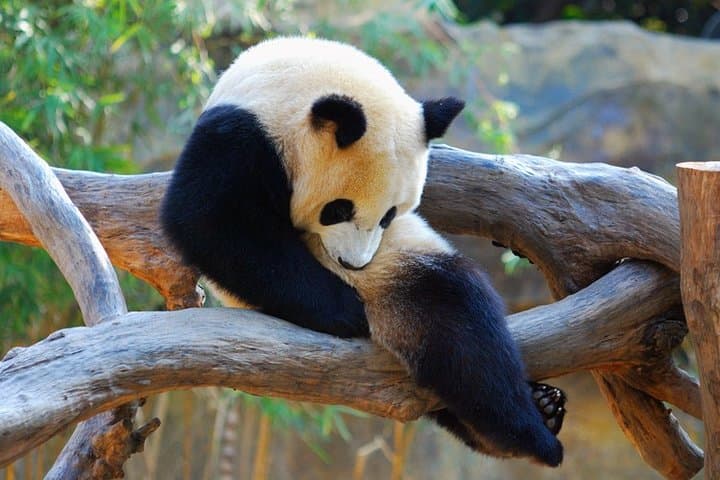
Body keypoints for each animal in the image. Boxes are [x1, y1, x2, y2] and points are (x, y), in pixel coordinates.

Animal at [161, 37, 565, 466]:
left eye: (390, 214)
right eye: (339, 209)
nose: (353, 264)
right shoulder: (241, 139)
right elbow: (209, 222)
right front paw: (344, 310)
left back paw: (541, 411)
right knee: (456, 319)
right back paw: (529, 433)